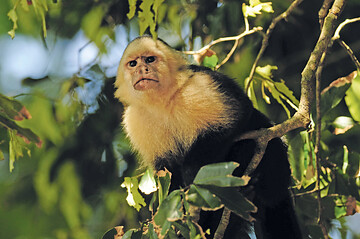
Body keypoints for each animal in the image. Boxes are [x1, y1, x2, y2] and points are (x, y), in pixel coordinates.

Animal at [114, 36, 300, 239]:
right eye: (133, 64)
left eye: (149, 59)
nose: (141, 70)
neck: (161, 101)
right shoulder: (134, 119)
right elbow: (167, 171)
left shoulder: (199, 82)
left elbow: (236, 114)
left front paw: (192, 176)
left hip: (275, 164)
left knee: (252, 146)